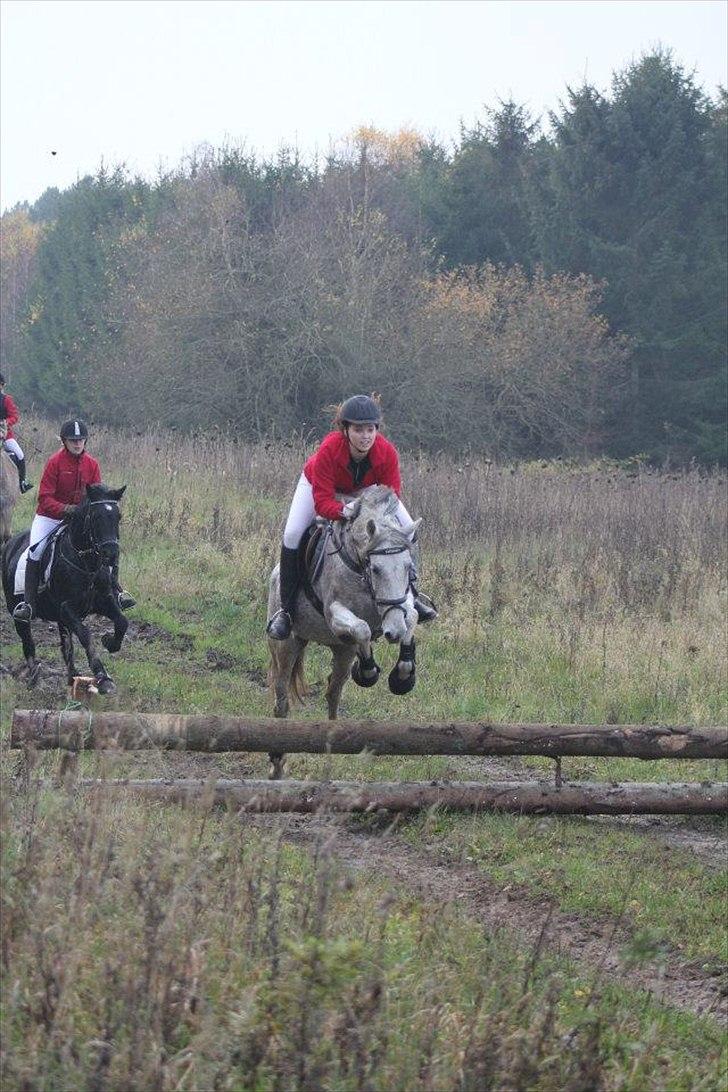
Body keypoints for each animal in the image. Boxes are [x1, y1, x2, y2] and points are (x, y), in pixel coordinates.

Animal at [2, 484, 129, 690]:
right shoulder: (67, 608)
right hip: (18, 611)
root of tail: (10, 545)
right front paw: (101, 675)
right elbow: (85, 634)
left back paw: (72, 676)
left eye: (118, 516)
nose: (111, 554)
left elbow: (122, 622)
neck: (86, 563)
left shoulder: (104, 601)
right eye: (96, 516)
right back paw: (34, 674)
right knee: (27, 639)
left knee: (66, 644)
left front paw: (109, 642)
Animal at [267, 487, 421, 742]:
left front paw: (403, 676)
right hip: (286, 645)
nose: (394, 632)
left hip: (342, 650)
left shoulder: (401, 602)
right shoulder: (334, 613)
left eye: (409, 567)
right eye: (376, 569)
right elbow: (362, 628)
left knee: (333, 692)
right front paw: (367, 671)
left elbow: (412, 616)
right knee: (281, 693)